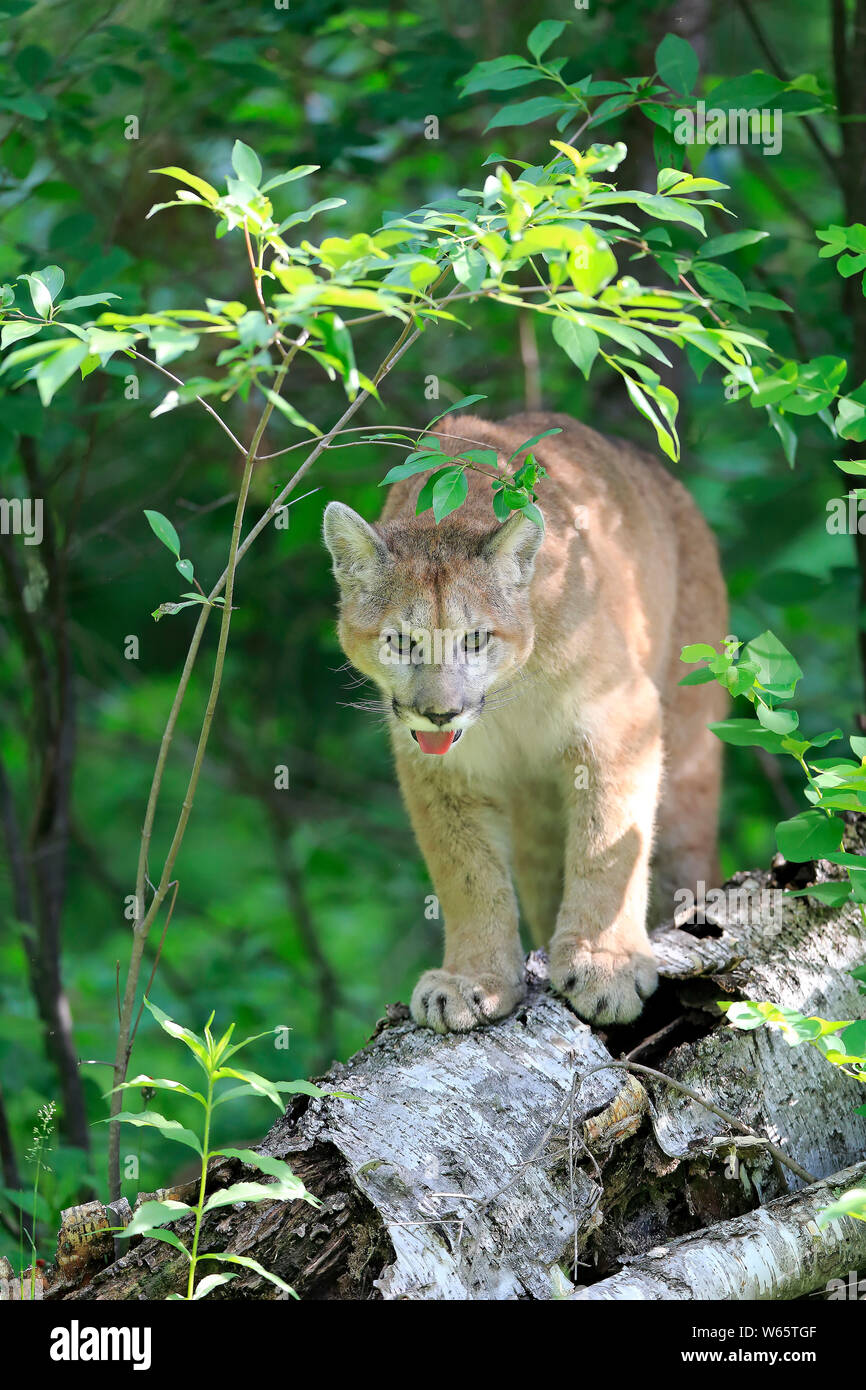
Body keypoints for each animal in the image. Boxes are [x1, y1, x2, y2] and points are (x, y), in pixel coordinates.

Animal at [322, 411, 728, 1034]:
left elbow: (610, 842)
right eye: (401, 641)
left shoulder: (618, 715)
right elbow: (466, 873)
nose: (440, 712)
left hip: (688, 764)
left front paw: (606, 963)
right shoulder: (441, 767)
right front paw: (475, 979)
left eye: (475, 639)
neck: (506, 703)